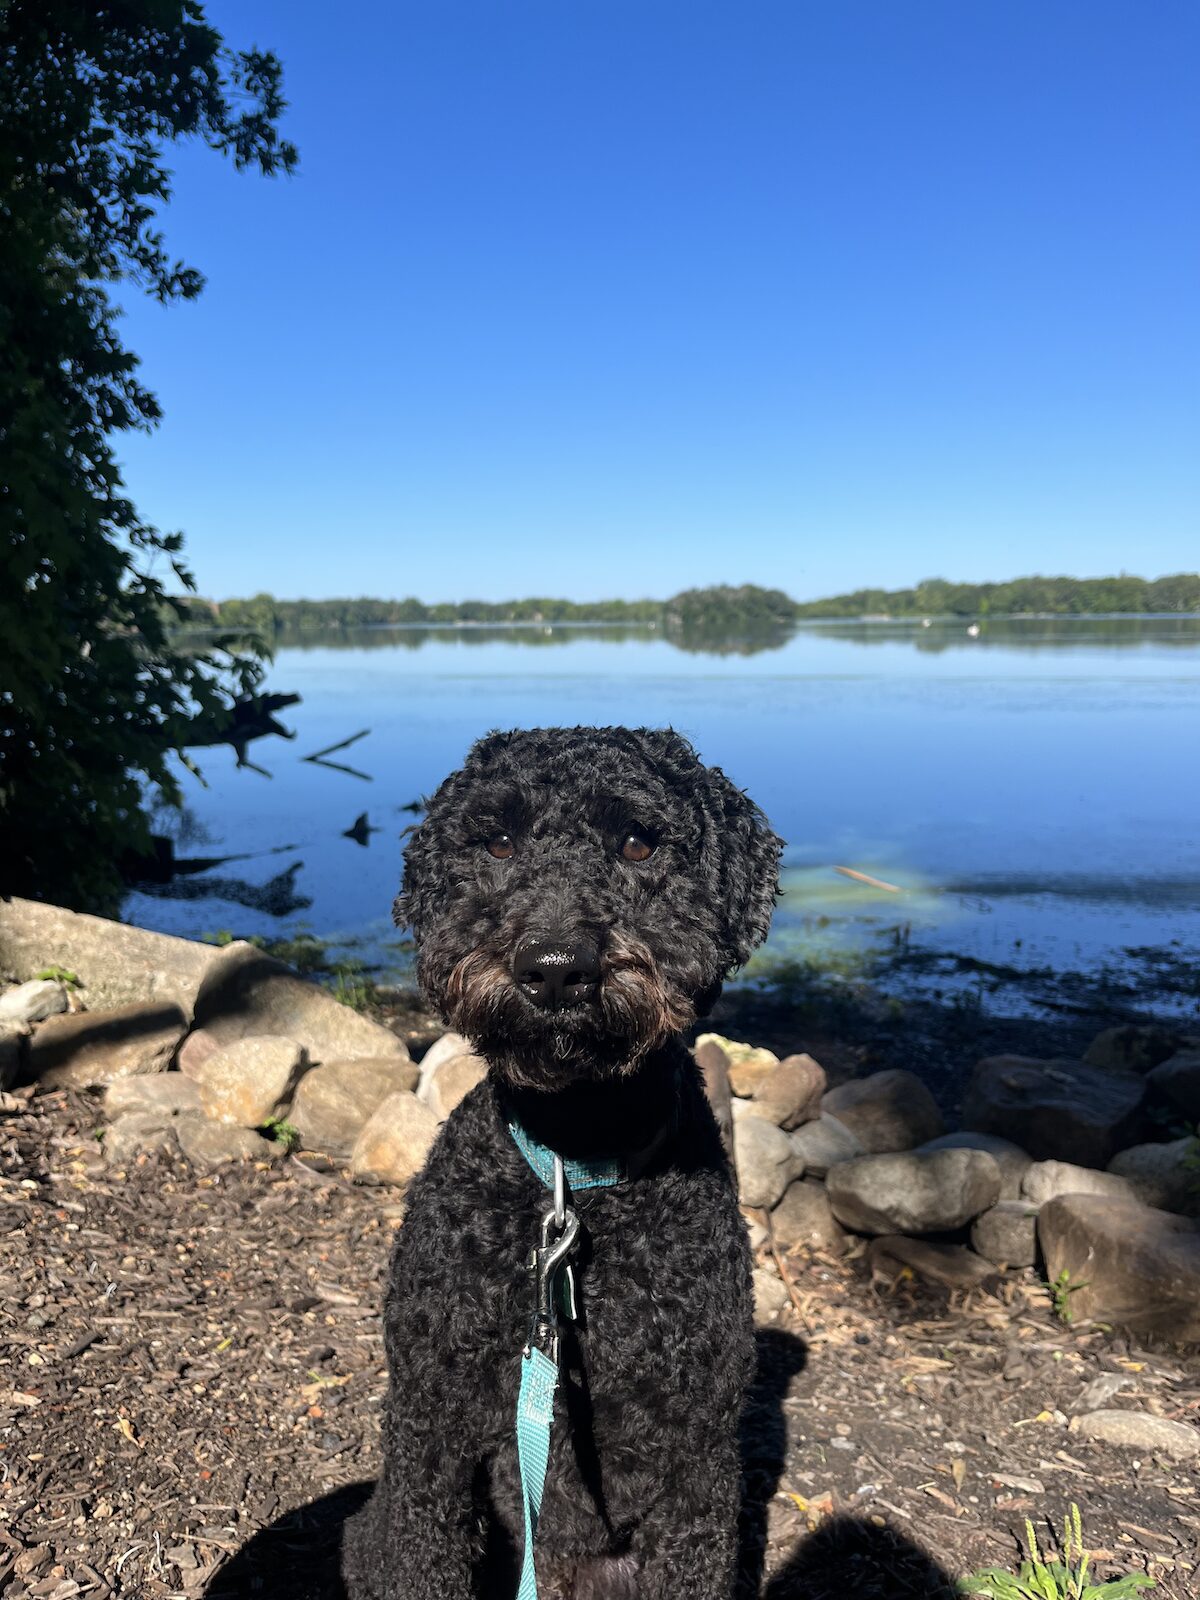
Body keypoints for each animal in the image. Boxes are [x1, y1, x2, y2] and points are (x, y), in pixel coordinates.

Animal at [342, 729, 784, 1600]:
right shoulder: (429, 1423)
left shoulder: (698, 1457)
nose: (553, 965)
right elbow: (421, 1552)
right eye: (498, 842)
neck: (573, 1167)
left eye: (640, 844)